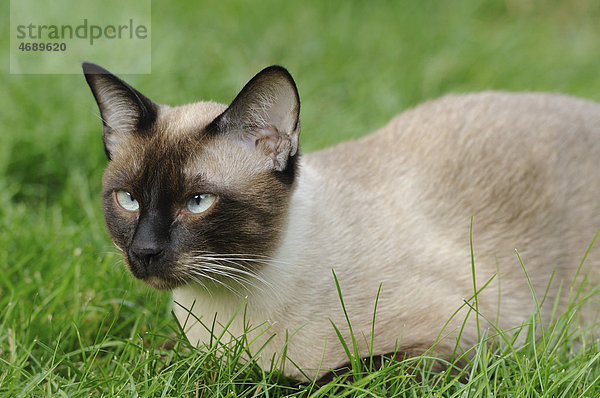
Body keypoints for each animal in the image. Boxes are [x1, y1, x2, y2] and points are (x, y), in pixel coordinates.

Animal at [83, 61, 600, 380]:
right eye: (128, 200)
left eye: (197, 202)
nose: (144, 252)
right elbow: (156, 352)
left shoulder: (459, 342)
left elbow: (329, 376)